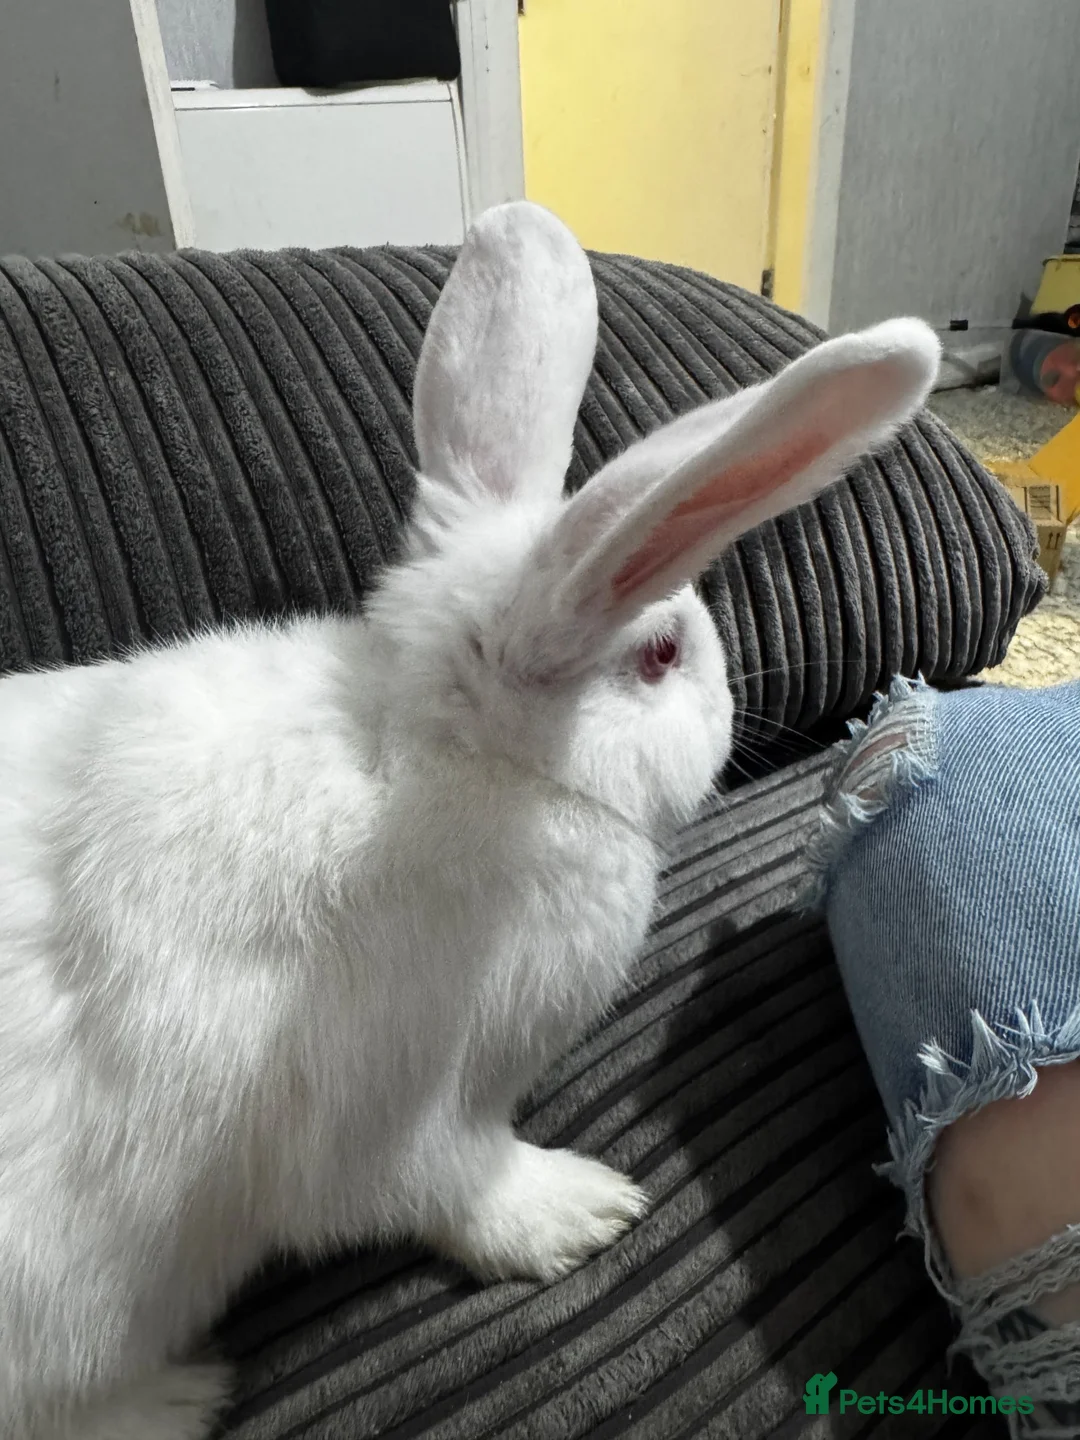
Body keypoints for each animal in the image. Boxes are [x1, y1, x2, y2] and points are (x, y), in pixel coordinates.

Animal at [0, 199, 940, 1440]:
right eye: (659, 656)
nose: (734, 706)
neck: (443, 759)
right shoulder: (396, 1104)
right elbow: (446, 1187)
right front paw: (585, 1212)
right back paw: (178, 1396)